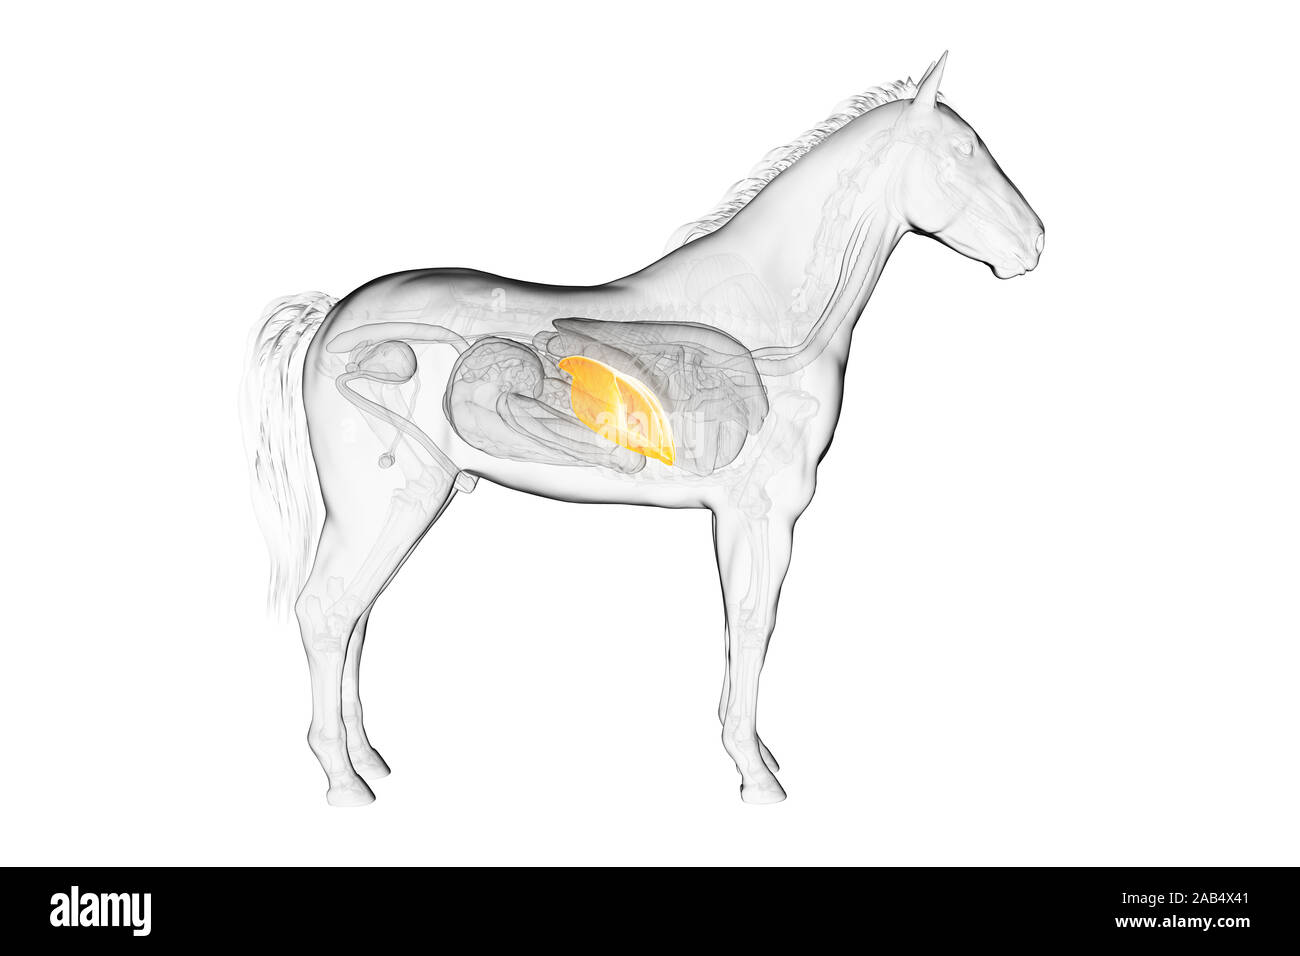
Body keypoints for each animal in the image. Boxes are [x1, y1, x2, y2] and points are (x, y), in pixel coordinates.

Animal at [242, 53, 1044, 806]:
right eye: (963, 150)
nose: (1035, 244)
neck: (765, 323)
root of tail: (332, 319)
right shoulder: (760, 514)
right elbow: (753, 622)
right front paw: (756, 776)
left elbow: (742, 626)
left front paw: (755, 754)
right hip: (385, 503)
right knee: (325, 612)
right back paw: (344, 784)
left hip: (400, 507)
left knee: (354, 617)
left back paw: (369, 761)